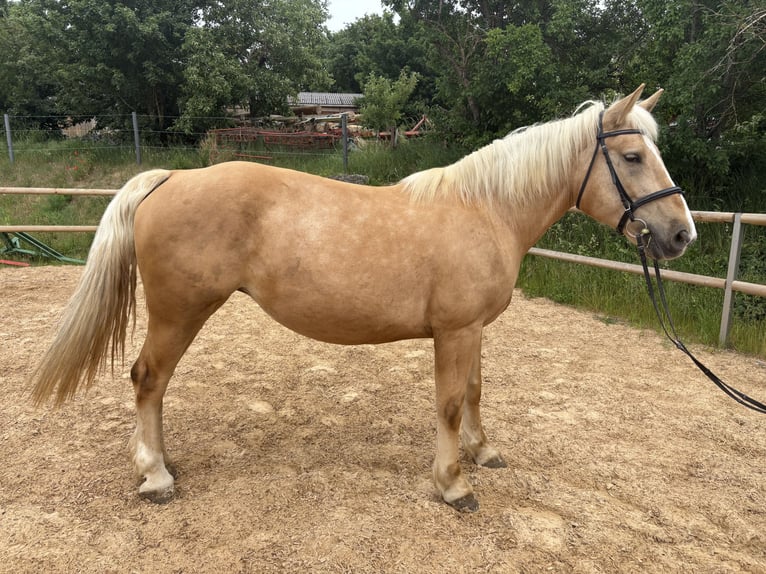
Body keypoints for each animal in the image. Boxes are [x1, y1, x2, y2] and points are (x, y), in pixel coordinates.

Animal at [31, 85, 696, 512]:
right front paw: (453, 485)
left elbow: (475, 392)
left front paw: (483, 452)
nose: (681, 234)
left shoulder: (475, 329)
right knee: (148, 380)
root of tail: (169, 178)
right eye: (632, 156)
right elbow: (449, 404)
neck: (486, 210)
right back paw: (156, 475)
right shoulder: (455, 331)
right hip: (178, 314)